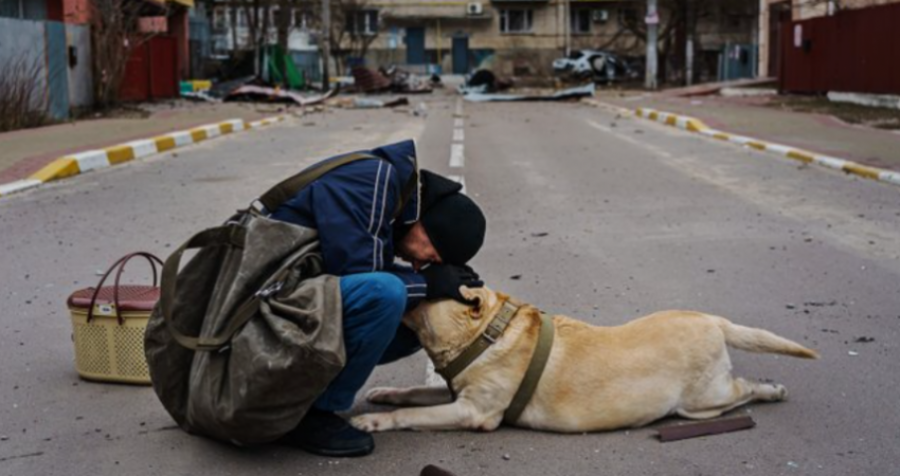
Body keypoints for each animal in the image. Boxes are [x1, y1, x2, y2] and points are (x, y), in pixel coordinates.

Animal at [350, 286, 816, 436]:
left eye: (427, 286)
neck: (484, 336)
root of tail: (714, 320)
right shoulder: (455, 392)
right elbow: (413, 393)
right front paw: (385, 393)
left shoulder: (472, 411)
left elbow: (412, 415)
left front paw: (374, 420)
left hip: (703, 402)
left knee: (744, 390)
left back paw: (771, 390)